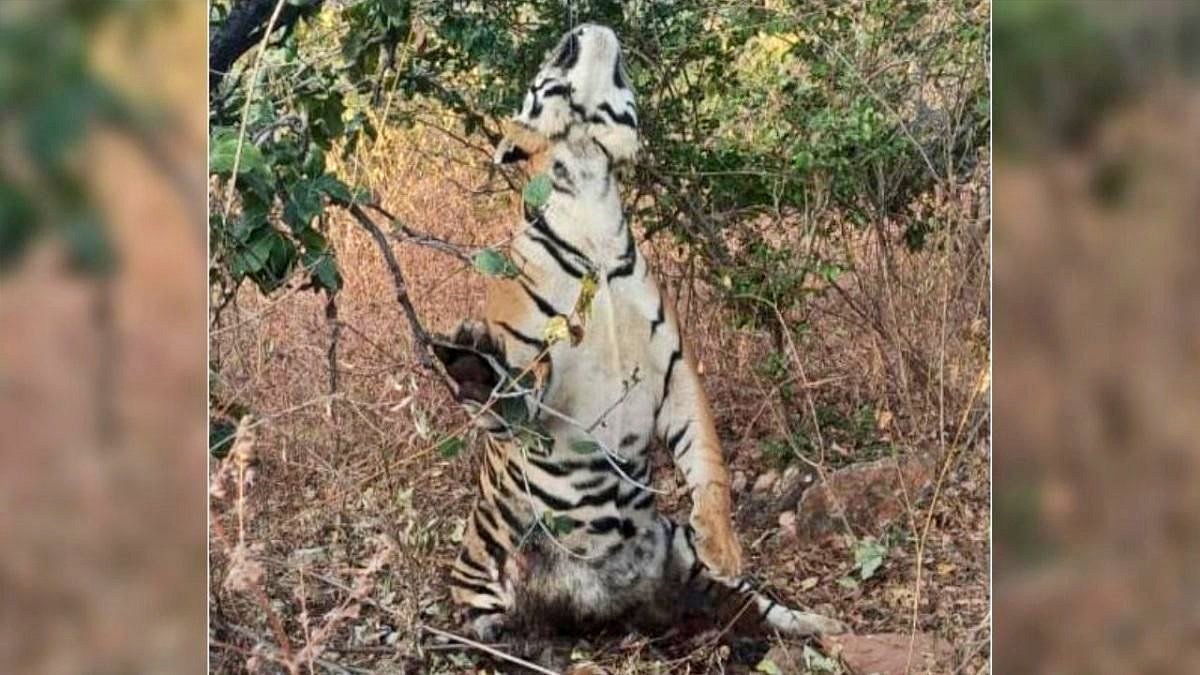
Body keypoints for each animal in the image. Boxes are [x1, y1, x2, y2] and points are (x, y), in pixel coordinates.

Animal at [432, 24, 846, 641]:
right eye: (555, 56)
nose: (583, 25)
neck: (591, 196)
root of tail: (613, 610)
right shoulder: (532, 380)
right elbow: (506, 401)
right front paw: (471, 365)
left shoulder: (676, 371)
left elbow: (711, 461)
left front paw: (724, 541)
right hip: (479, 578)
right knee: (489, 620)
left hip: (681, 554)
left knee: (757, 607)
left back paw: (819, 624)